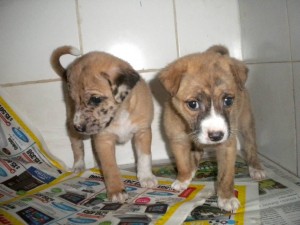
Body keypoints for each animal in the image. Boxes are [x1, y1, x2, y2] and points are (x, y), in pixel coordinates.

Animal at [50, 45, 158, 202]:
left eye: (95, 99)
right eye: (74, 100)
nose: (79, 127)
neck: (120, 115)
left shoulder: (142, 132)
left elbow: (144, 157)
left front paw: (146, 177)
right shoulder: (103, 140)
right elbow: (109, 167)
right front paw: (116, 191)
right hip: (70, 124)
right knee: (77, 146)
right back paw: (78, 165)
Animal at [159, 45, 264, 211]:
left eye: (228, 100)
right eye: (193, 104)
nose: (216, 136)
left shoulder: (227, 145)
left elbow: (226, 176)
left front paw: (227, 198)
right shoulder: (177, 140)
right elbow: (182, 164)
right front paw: (183, 179)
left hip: (246, 122)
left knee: (251, 145)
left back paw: (256, 168)